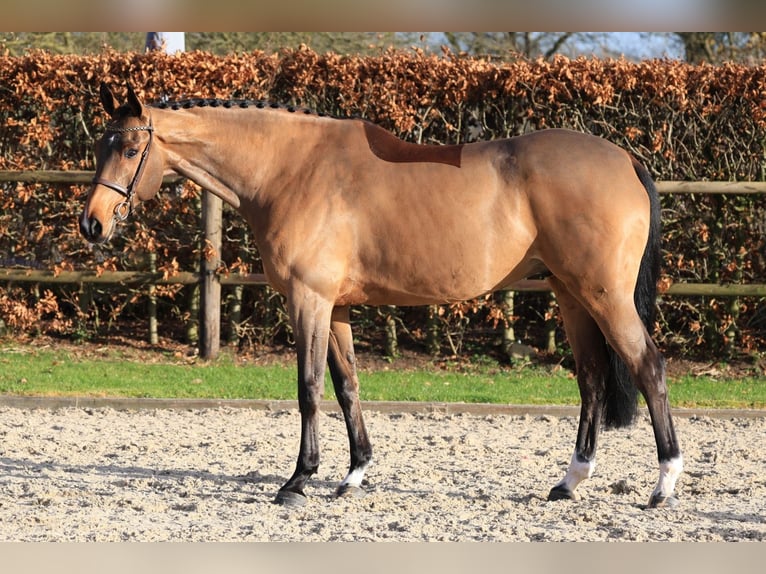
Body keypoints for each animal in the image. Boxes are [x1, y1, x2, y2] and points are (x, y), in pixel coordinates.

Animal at [80, 83, 683, 509]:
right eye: (99, 145)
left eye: (130, 147)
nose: (92, 224)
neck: (290, 169)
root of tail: (625, 159)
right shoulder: (337, 306)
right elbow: (347, 386)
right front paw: (354, 473)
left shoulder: (309, 300)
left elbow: (309, 388)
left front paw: (297, 481)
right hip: (571, 295)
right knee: (593, 378)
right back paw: (569, 482)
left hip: (603, 296)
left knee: (648, 367)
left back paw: (663, 484)